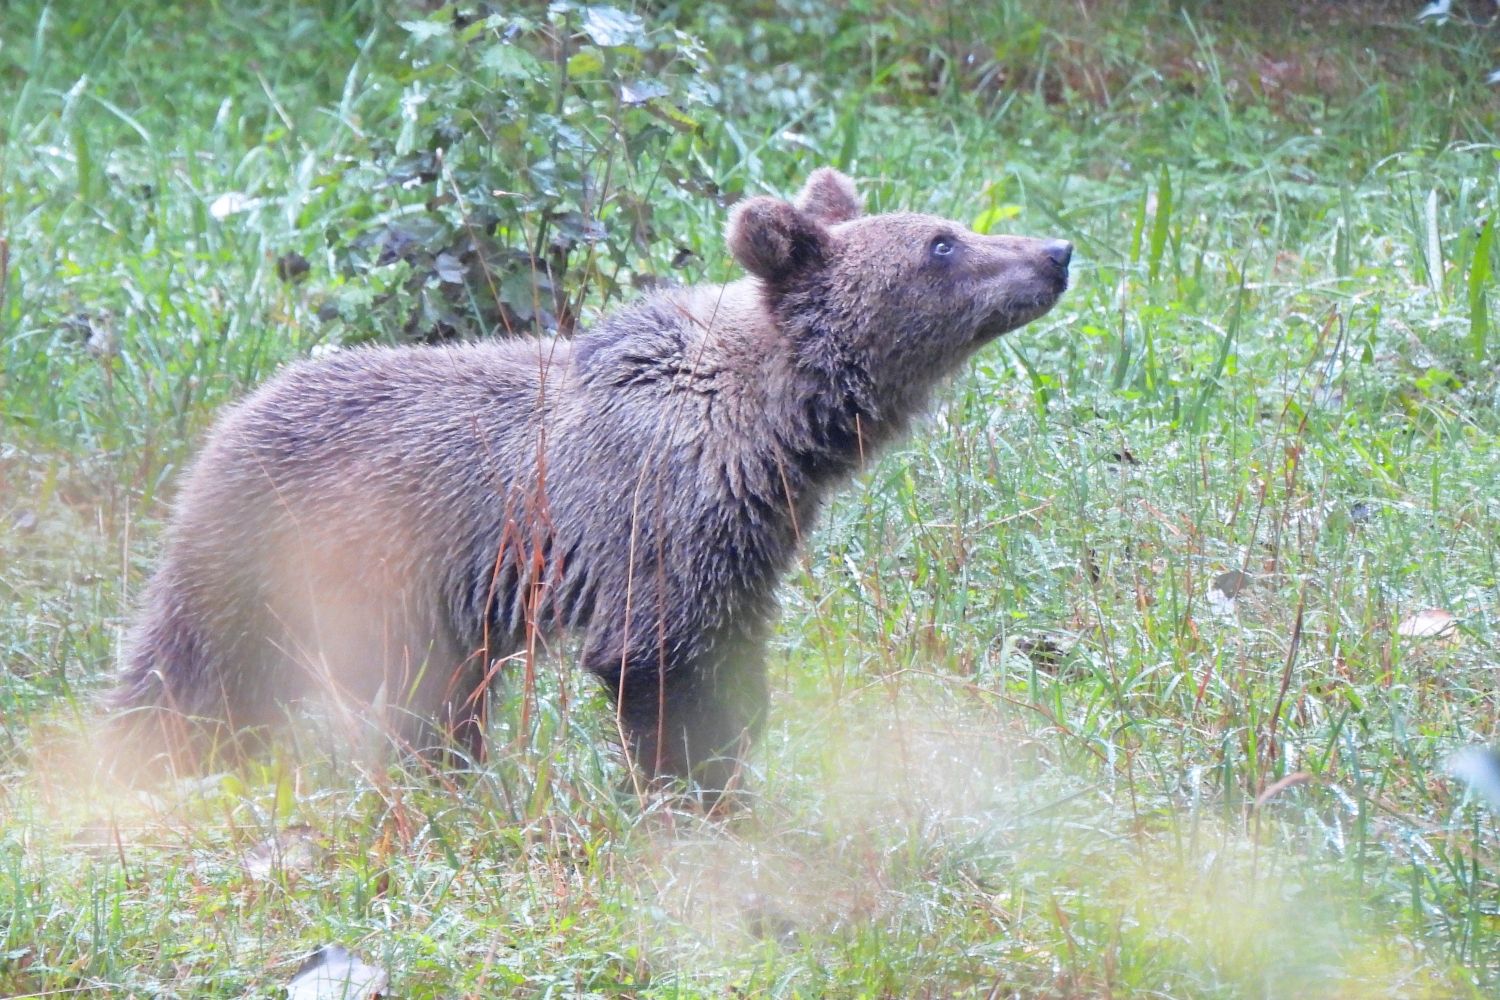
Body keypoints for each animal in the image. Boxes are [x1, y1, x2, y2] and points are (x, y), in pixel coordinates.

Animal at [111, 170, 1068, 797]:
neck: (768, 434)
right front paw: (699, 797)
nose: (1057, 251)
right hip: (274, 552)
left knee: (437, 701)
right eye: (941, 243)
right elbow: (659, 668)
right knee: (193, 673)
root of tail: (231, 415)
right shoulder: (650, 518)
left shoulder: (749, 541)